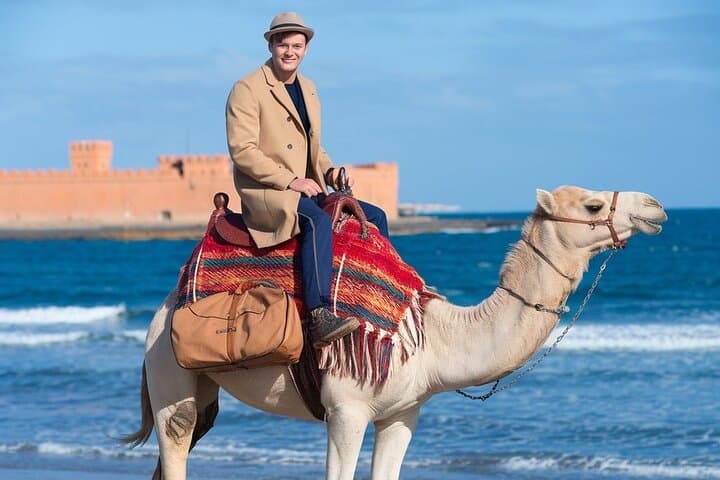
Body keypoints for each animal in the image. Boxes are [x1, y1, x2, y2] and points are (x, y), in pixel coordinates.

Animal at [123, 186, 667, 480]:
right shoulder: (346, 411)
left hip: (203, 390)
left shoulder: (402, 415)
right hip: (168, 369)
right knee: (176, 440)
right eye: (593, 206)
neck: (430, 338)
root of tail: (164, 306)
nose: (655, 206)